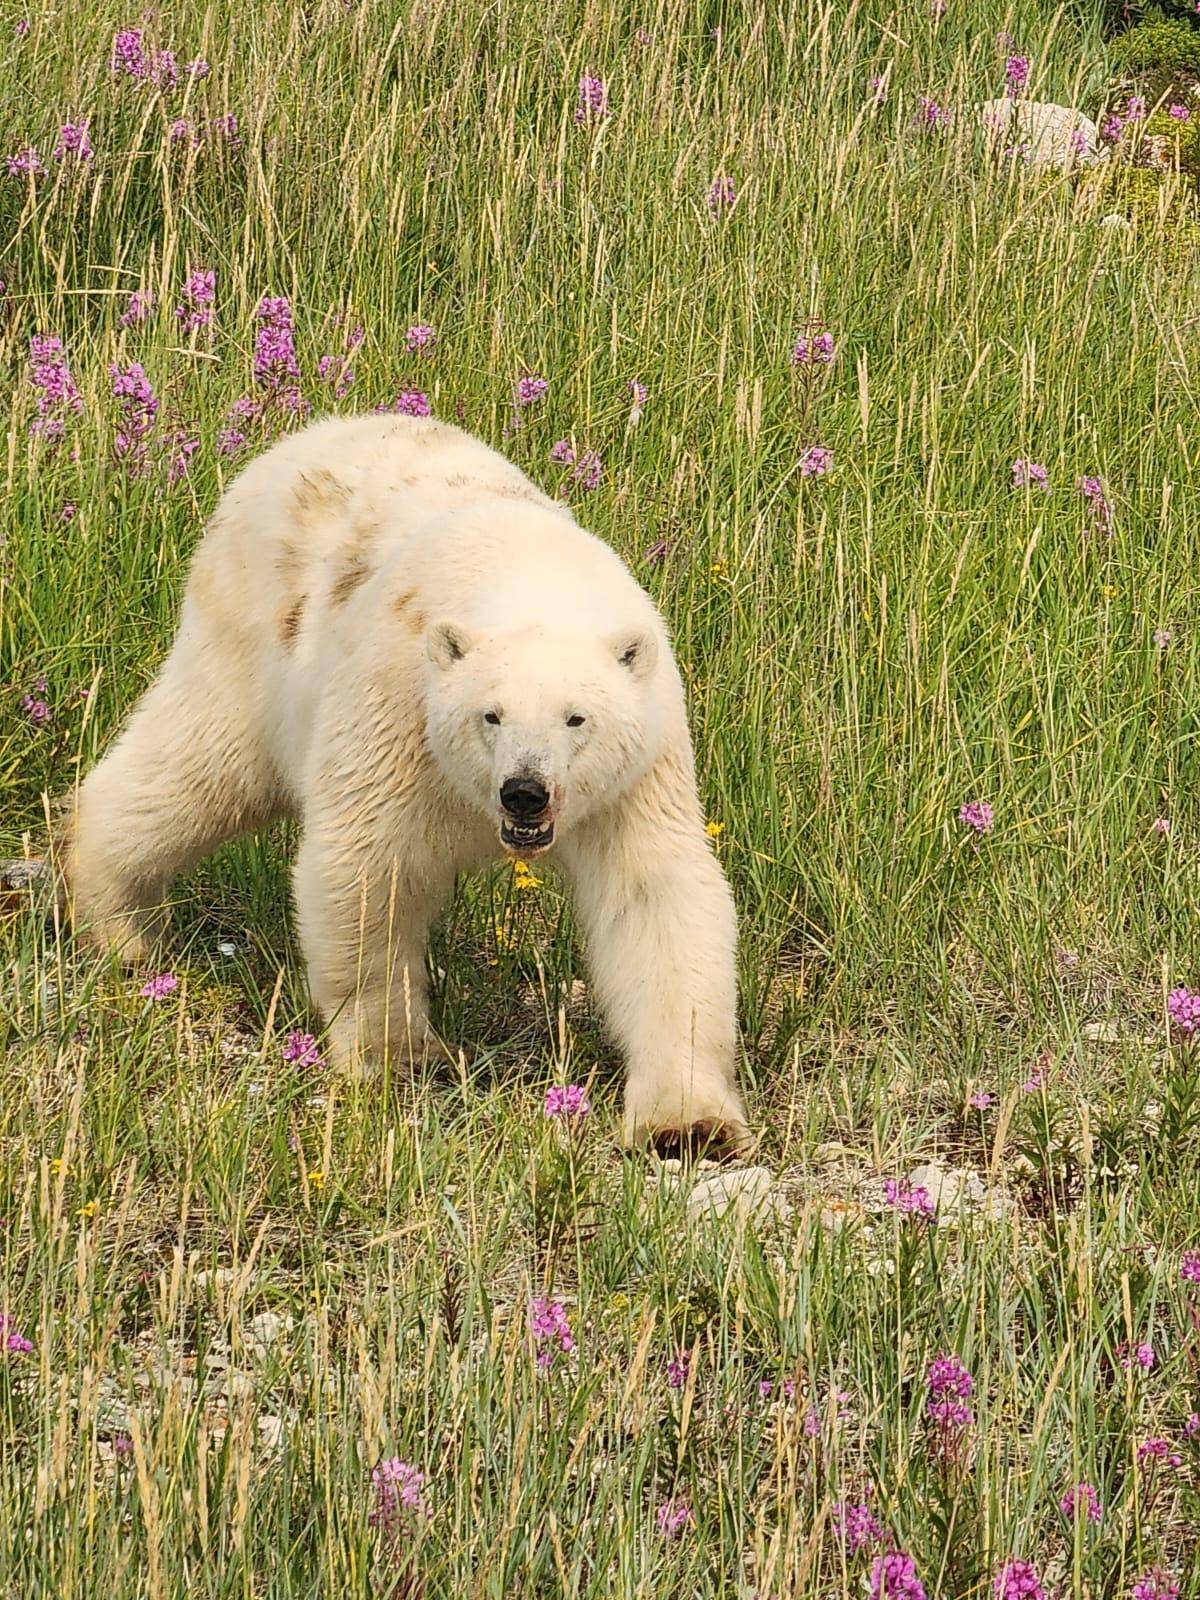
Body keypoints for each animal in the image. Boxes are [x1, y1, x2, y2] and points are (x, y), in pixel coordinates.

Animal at [62, 413, 749, 1152]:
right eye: (490, 714)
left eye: (576, 718)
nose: (524, 791)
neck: (533, 581)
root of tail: (304, 436)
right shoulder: (400, 710)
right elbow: (367, 866)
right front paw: (399, 1057)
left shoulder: (638, 770)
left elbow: (655, 896)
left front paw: (689, 1121)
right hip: (251, 636)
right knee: (196, 770)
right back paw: (116, 926)